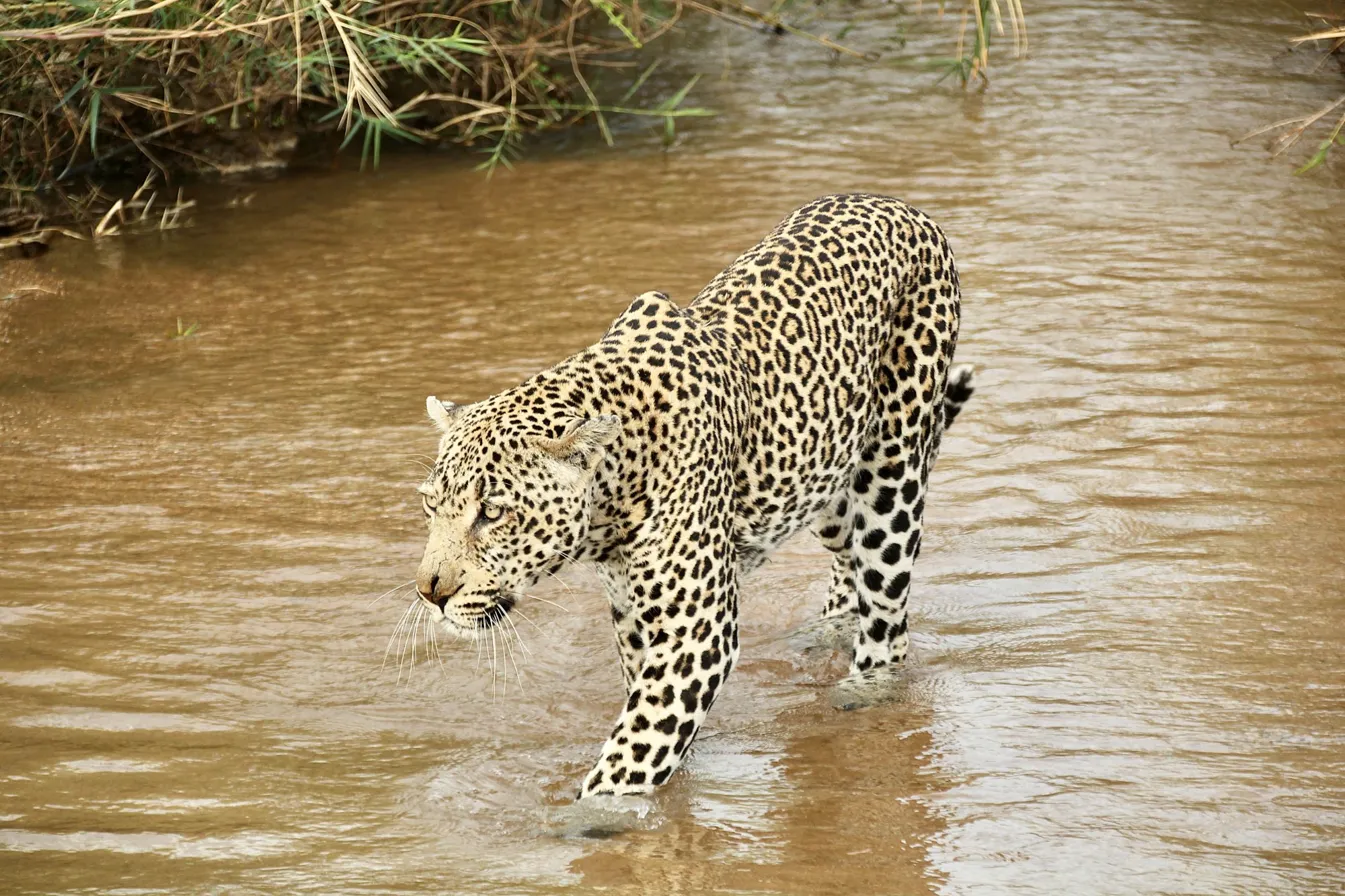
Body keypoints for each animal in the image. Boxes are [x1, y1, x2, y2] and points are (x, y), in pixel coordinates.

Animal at [412, 193, 973, 799]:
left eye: (492, 513)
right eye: (431, 505)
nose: (430, 592)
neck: (612, 494)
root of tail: (901, 205)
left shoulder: (697, 635)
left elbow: (629, 755)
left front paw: (586, 813)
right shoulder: (634, 622)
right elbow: (652, 726)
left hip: (891, 479)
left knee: (887, 616)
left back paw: (864, 687)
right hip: (826, 482)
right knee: (848, 562)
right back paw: (826, 631)